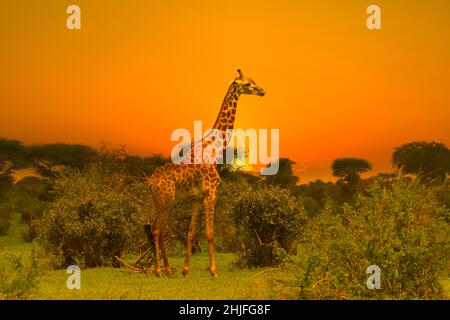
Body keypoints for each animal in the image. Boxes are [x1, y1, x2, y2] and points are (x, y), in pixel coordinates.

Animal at [146, 70, 266, 278]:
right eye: (247, 84)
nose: (262, 91)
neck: (214, 148)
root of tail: (151, 180)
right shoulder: (211, 193)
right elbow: (210, 233)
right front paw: (214, 271)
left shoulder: (197, 198)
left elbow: (191, 233)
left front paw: (185, 271)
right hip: (165, 200)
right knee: (156, 230)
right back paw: (159, 271)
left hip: (162, 201)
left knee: (160, 230)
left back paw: (169, 270)